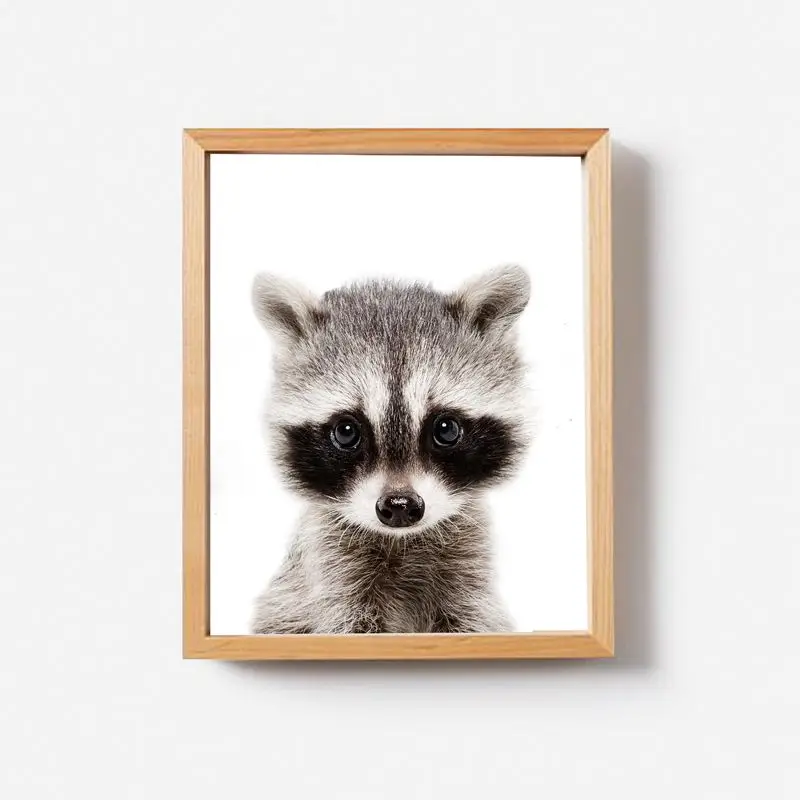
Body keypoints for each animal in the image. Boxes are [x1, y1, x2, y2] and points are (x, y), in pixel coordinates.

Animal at [249, 264, 531, 634]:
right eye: (346, 432)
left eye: (446, 429)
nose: (399, 506)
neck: (401, 540)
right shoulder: (331, 569)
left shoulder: (467, 572)